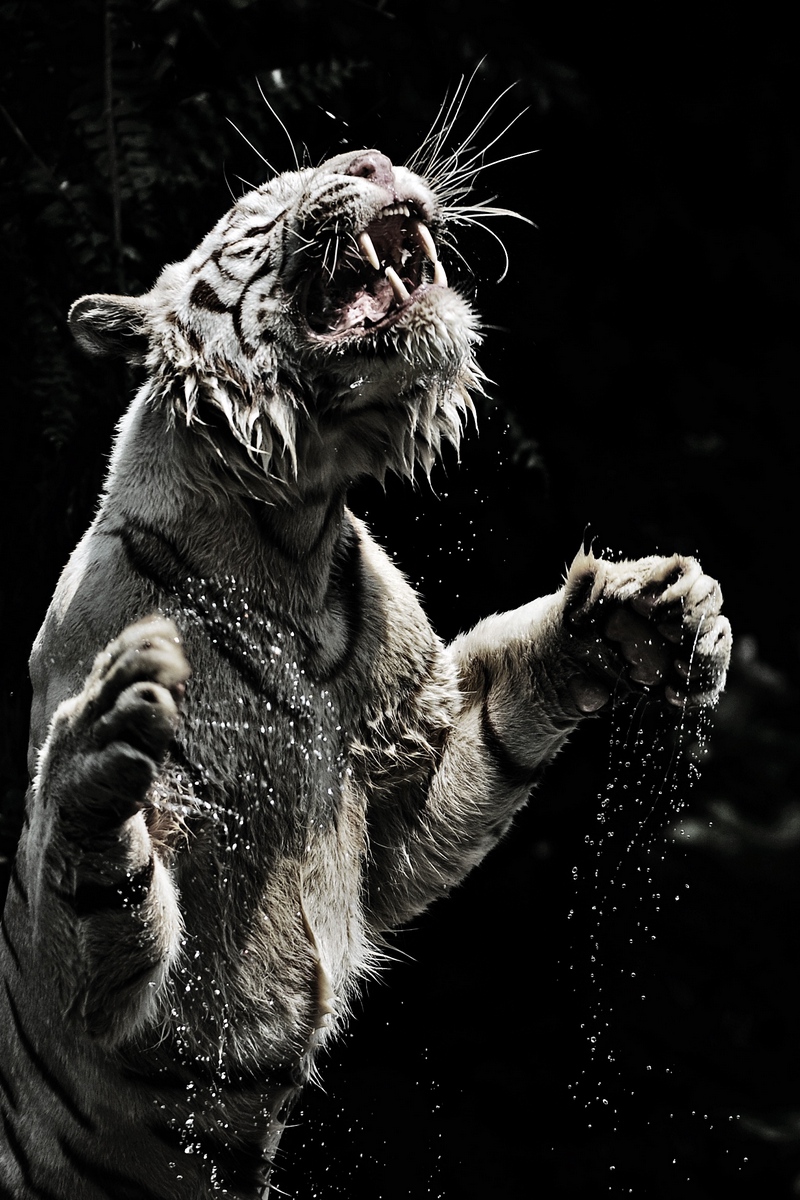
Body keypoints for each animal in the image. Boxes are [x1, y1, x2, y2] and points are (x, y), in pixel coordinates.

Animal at [0, 136, 731, 1199]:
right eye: (262, 203)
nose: (373, 157)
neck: (290, 535)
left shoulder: (403, 781)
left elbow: (502, 716)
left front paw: (656, 611)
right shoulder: (121, 993)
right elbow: (93, 894)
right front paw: (105, 741)